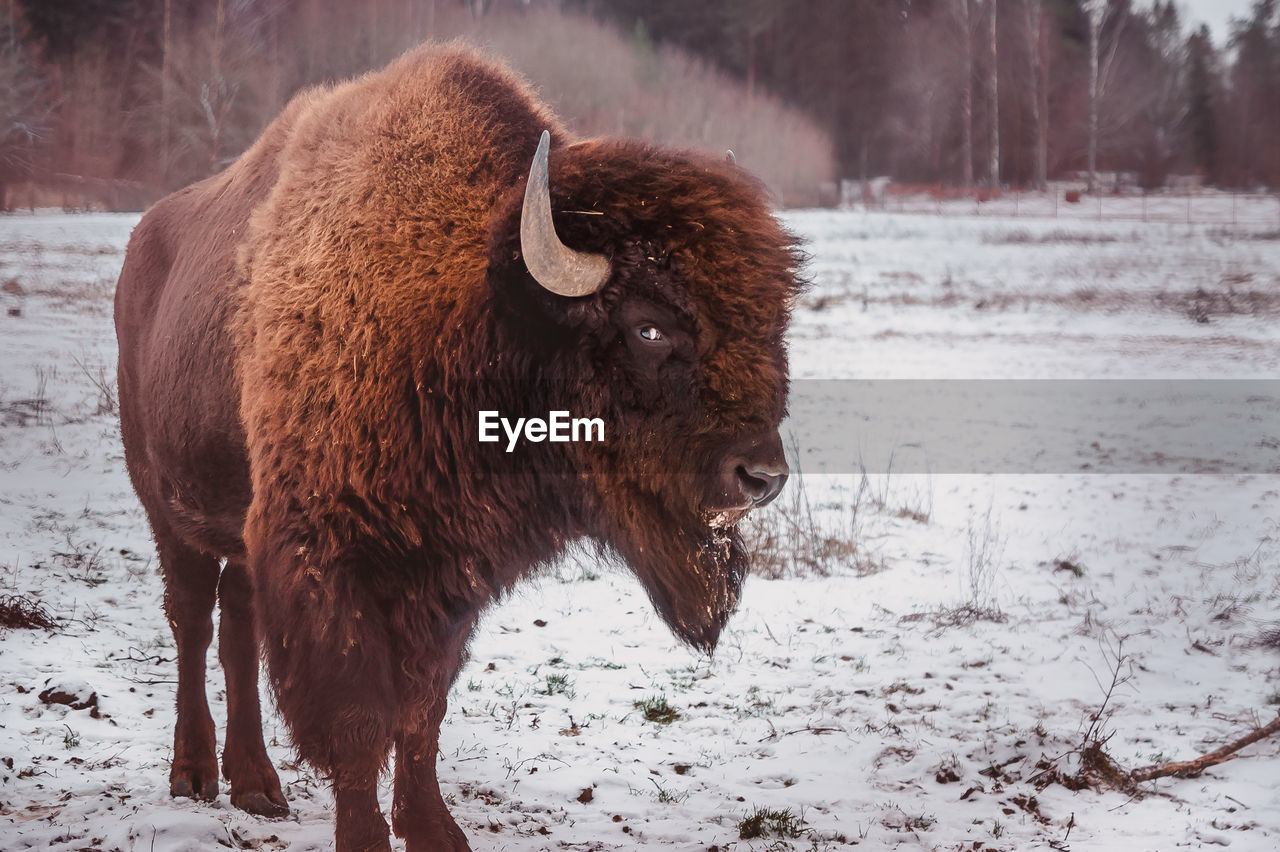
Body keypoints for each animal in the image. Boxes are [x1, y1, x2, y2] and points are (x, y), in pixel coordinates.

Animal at [115, 44, 803, 849]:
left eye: (771, 326)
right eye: (648, 325)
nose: (761, 476)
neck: (462, 308)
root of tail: (141, 246)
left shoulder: (443, 579)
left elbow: (422, 710)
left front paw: (434, 830)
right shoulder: (327, 561)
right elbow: (360, 718)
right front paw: (366, 835)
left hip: (241, 534)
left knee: (236, 627)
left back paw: (257, 784)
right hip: (167, 507)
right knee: (193, 622)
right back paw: (194, 774)